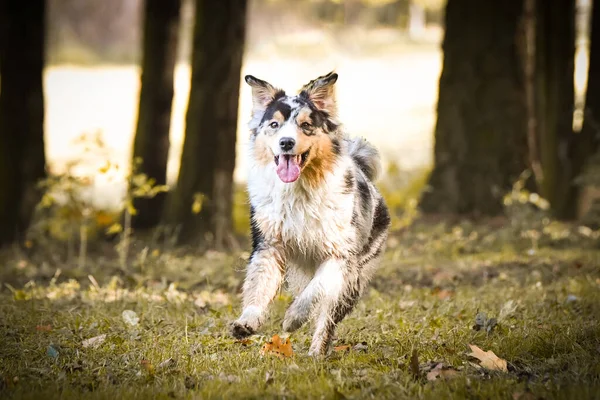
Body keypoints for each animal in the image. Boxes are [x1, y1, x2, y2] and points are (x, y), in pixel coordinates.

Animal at [229, 72, 390, 356]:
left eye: (306, 125)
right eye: (274, 124)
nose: (286, 142)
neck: (299, 189)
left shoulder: (341, 255)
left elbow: (317, 290)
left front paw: (293, 318)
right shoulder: (269, 245)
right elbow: (258, 285)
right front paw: (247, 321)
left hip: (354, 279)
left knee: (327, 317)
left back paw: (317, 352)